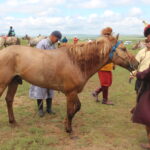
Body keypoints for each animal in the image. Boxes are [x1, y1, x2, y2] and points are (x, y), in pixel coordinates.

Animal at [0, 27, 138, 132]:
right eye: (123, 49)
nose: (136, 63)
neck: (76, 62)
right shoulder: (70, 93)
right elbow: (71, 110)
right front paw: (68, 129)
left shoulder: (73, 92)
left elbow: (77, 107)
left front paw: (66, 123)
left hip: (14, 82)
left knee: (9, 100)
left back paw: (13, 122)